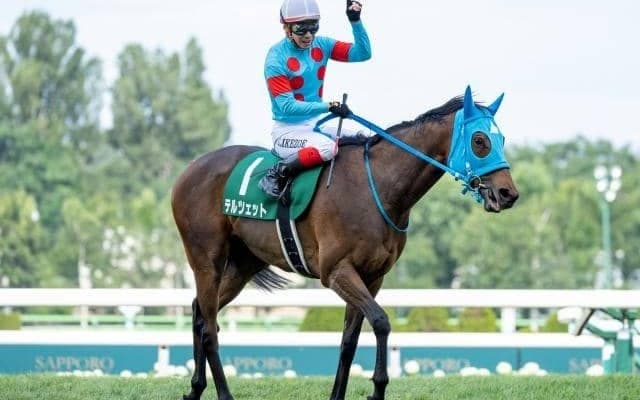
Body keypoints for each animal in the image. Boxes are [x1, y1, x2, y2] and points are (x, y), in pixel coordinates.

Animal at [171, 86, 519, 400]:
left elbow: (349, 341)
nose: (508, 194)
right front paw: (377, 389)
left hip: (244, 263)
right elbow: (381, 322)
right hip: (206, 259)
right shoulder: (337, 271)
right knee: (210, 327)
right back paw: (224, 393)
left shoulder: (372, 276)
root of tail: (189, 170)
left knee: (200, 312)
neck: (377, 188)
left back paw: (195, 388)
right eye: (479, 141)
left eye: (501, 139)